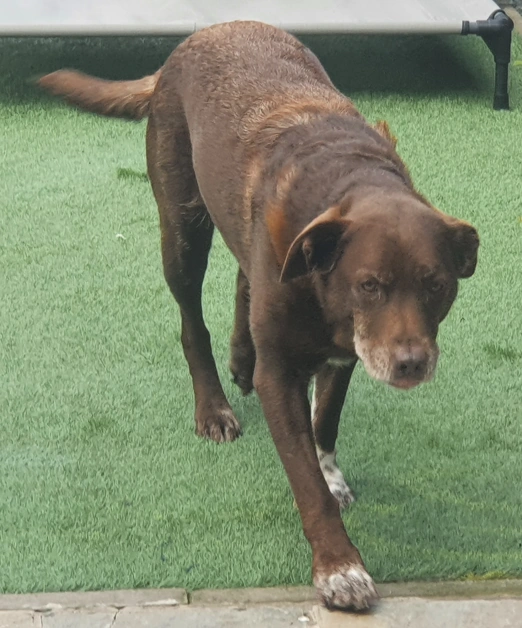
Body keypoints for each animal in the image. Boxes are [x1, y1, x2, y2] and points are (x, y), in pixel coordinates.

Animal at [38, 20, 479, 611]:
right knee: (192, 322)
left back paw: (241, 357)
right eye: (369, 286)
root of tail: (201, 36)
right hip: (182, 228)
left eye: (437, 286)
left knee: (245, 277)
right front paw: (340, 568)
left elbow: (325, 422)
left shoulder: (345, 353)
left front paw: (331, 472)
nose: (411, 364)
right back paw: (213, 407)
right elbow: (305, 481)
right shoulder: (283, 374)